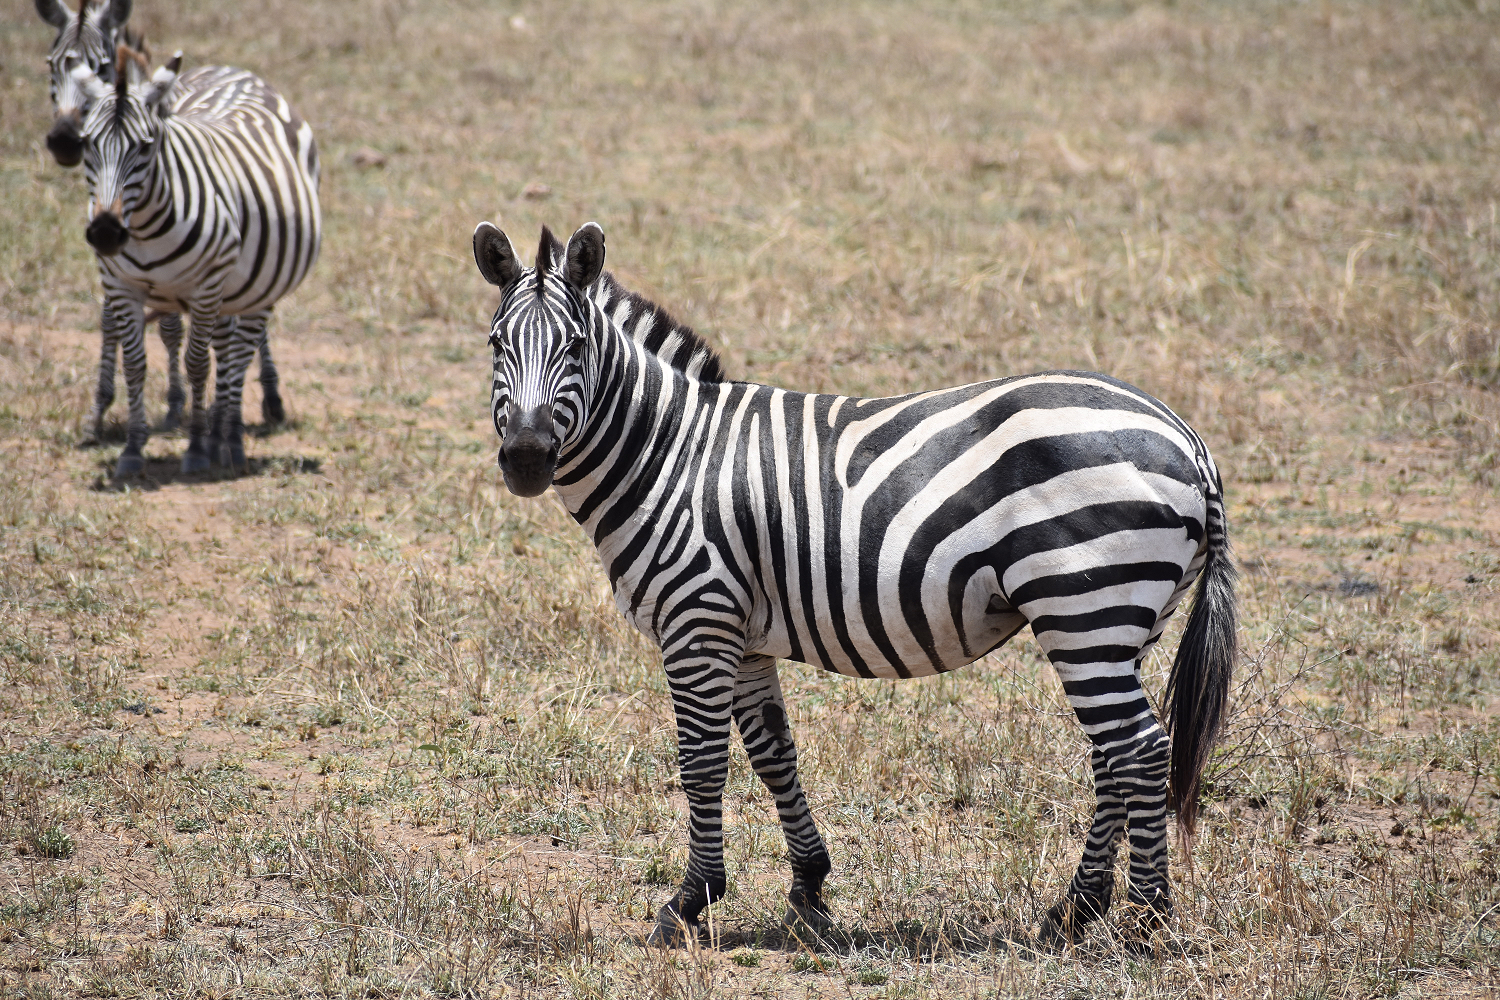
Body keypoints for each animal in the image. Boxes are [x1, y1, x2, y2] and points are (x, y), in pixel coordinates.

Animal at [33, 4, 288, 434]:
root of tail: (230, 68)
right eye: (52, 64)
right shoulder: (116, 251)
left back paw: (268, 395)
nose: (65, 140)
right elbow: (119, 320)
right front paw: (103, 407)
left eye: (102, 66)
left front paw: (183, 401)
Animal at [70, 48, 320, 476]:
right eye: (87, 143)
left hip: (257, 283)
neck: (146, 227)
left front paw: (197, 447)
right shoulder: (122, 285)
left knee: (240, 350)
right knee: (228, 347)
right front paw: (133, 448)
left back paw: (231, 437)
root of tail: (238, 73)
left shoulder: (206, 286)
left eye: (146, 146)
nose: (105, 233)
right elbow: (135, 363)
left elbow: (198, 363)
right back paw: (220, 429)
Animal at [472, 220, 1237, 948]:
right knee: (1114, 755)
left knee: (1140, 749)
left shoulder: (698, 619)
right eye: (495, 345)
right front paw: (809, 885)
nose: (527, 459)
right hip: (1122, 621)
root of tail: (1188, 439)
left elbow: (702, 763)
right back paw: (1077, 910)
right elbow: (774, 753)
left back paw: (1146, 917)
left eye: (574, 347)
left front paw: (689, 903)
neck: (670, 455)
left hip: (1085, 606)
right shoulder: (745, 635)